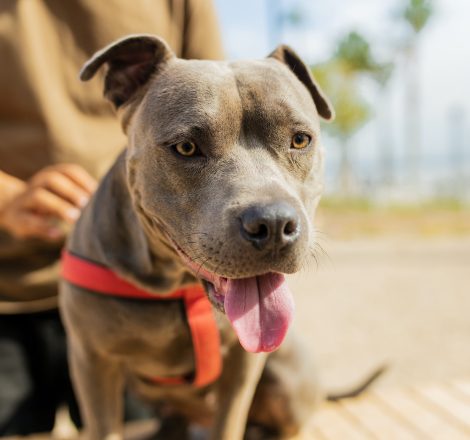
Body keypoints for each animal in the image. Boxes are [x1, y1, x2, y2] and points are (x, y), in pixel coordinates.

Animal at [59, 32, 334, 438]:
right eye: (186, 147)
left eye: (300, 140)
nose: (272, 225)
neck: (178, 285)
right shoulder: (93, 362)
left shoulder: (242, 365)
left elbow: (228, 423)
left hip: (288, 375)